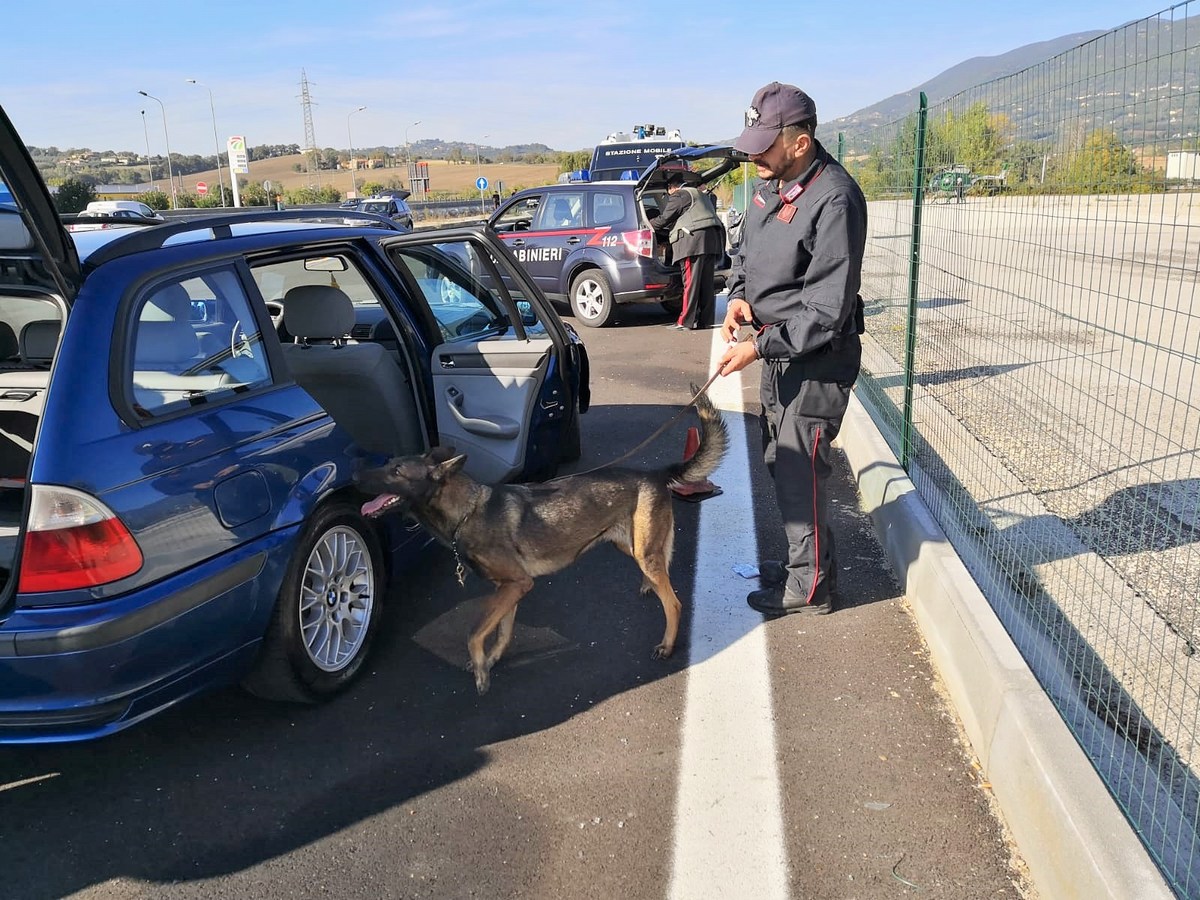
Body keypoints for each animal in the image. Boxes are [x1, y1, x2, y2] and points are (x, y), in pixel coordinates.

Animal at [355, 388, 724, 696]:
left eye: (396, 472)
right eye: (388, 464)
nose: (356, 474)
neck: (467, 510)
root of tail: (655, 474)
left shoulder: (517, 584)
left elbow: (474, 632)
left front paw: (481, 672)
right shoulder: (510, 588)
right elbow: (502, 631)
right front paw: (490, 662)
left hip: (644, 553)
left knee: (674, 603)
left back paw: (667, 644)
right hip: (631, 546)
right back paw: (650, 587)